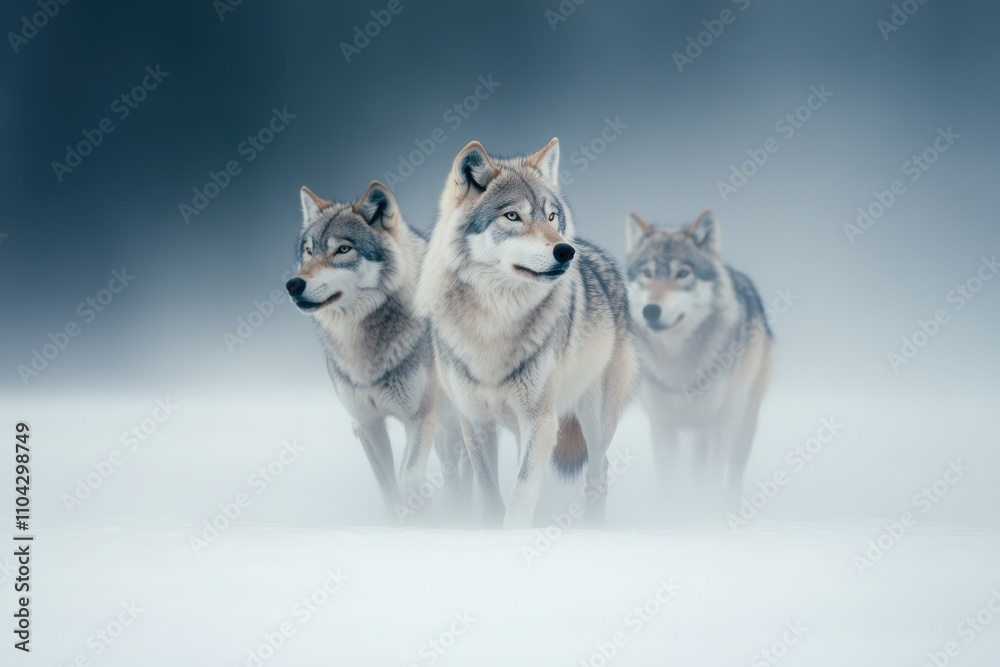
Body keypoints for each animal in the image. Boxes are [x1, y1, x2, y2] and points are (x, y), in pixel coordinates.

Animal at [286, 180, 469, 515]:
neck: (363, 349)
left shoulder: (419, 418)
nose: (293, 285)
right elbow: (389, 486)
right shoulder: (368, 424)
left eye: (343, 249)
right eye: (308, 251)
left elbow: (410, 477)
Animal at [416, 138, 637, 528]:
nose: (566, 250)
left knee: (599, 469)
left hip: (595, 422)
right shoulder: (476, 422)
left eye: (551, 217)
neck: (495, 322)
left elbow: (521, 493)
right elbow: (491, 494)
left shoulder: (540, 419)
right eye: (512, 216)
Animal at [625, 210, 772, 502]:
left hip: (742, 425)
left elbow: (713, 482)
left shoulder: (719, 426)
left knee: (733, 478)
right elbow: (669, 483)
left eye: (682, 274)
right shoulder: (663, 427)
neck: (676, 361)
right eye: (647, 273)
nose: (651, 310)